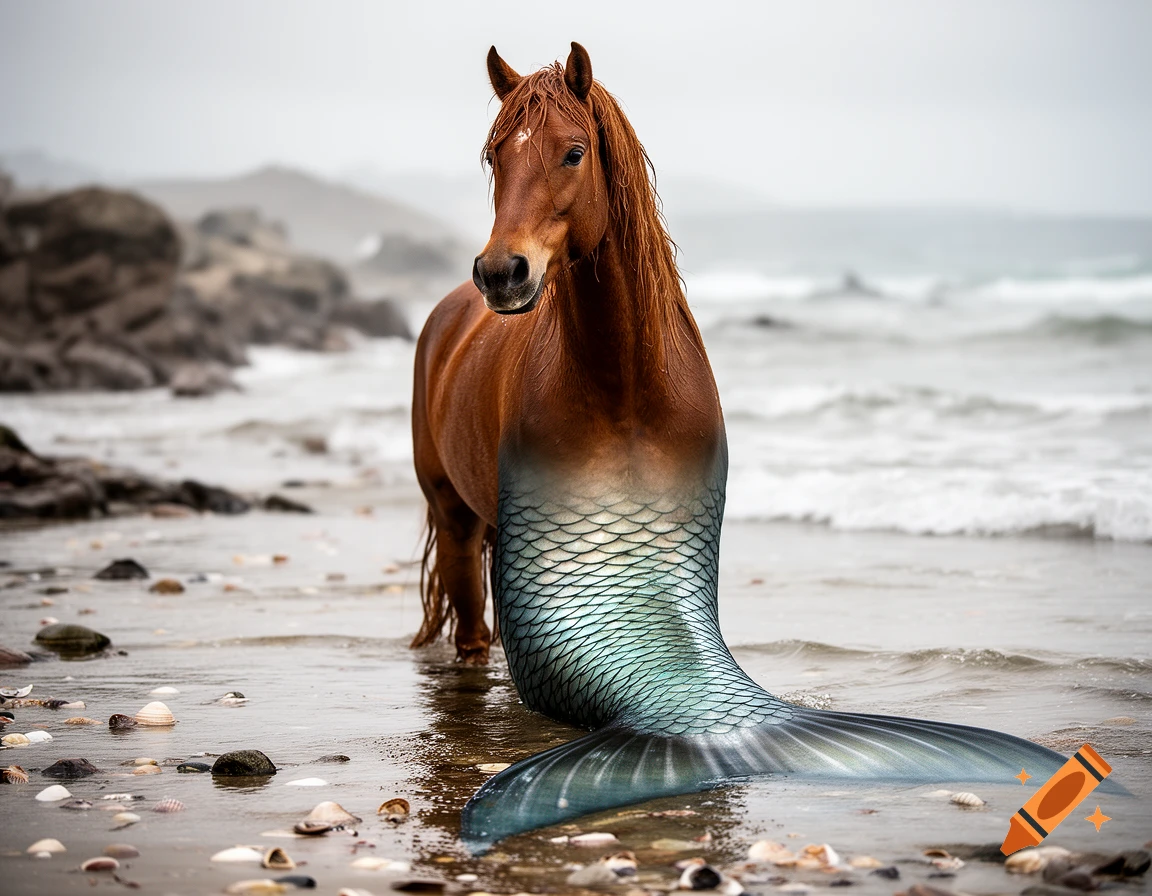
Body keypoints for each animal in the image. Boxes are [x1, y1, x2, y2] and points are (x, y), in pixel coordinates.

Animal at [411, 42, 1066, 852]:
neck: (623, 377)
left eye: (573, 151)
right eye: (492, 155)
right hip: (455, 516)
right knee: (473, 636)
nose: (502, 273)